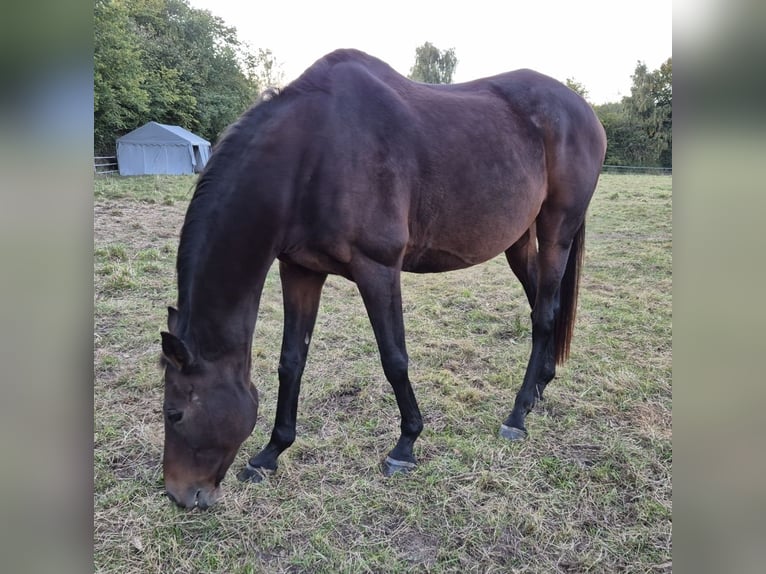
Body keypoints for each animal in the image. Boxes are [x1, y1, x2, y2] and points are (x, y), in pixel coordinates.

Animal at [159, 49, 607, 509]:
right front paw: (271, 452)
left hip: (556, 231)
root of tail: (584, 109)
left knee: (543, 315)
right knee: (543, 303)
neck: (312, 152)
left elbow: (394, 358)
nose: (180, 494)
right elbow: (292, 361)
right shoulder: (300, 270)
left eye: (174, 413)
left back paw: (517, 414)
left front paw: (405, 444)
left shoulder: (377, 269)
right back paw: (539, 389)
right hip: (518, 240)